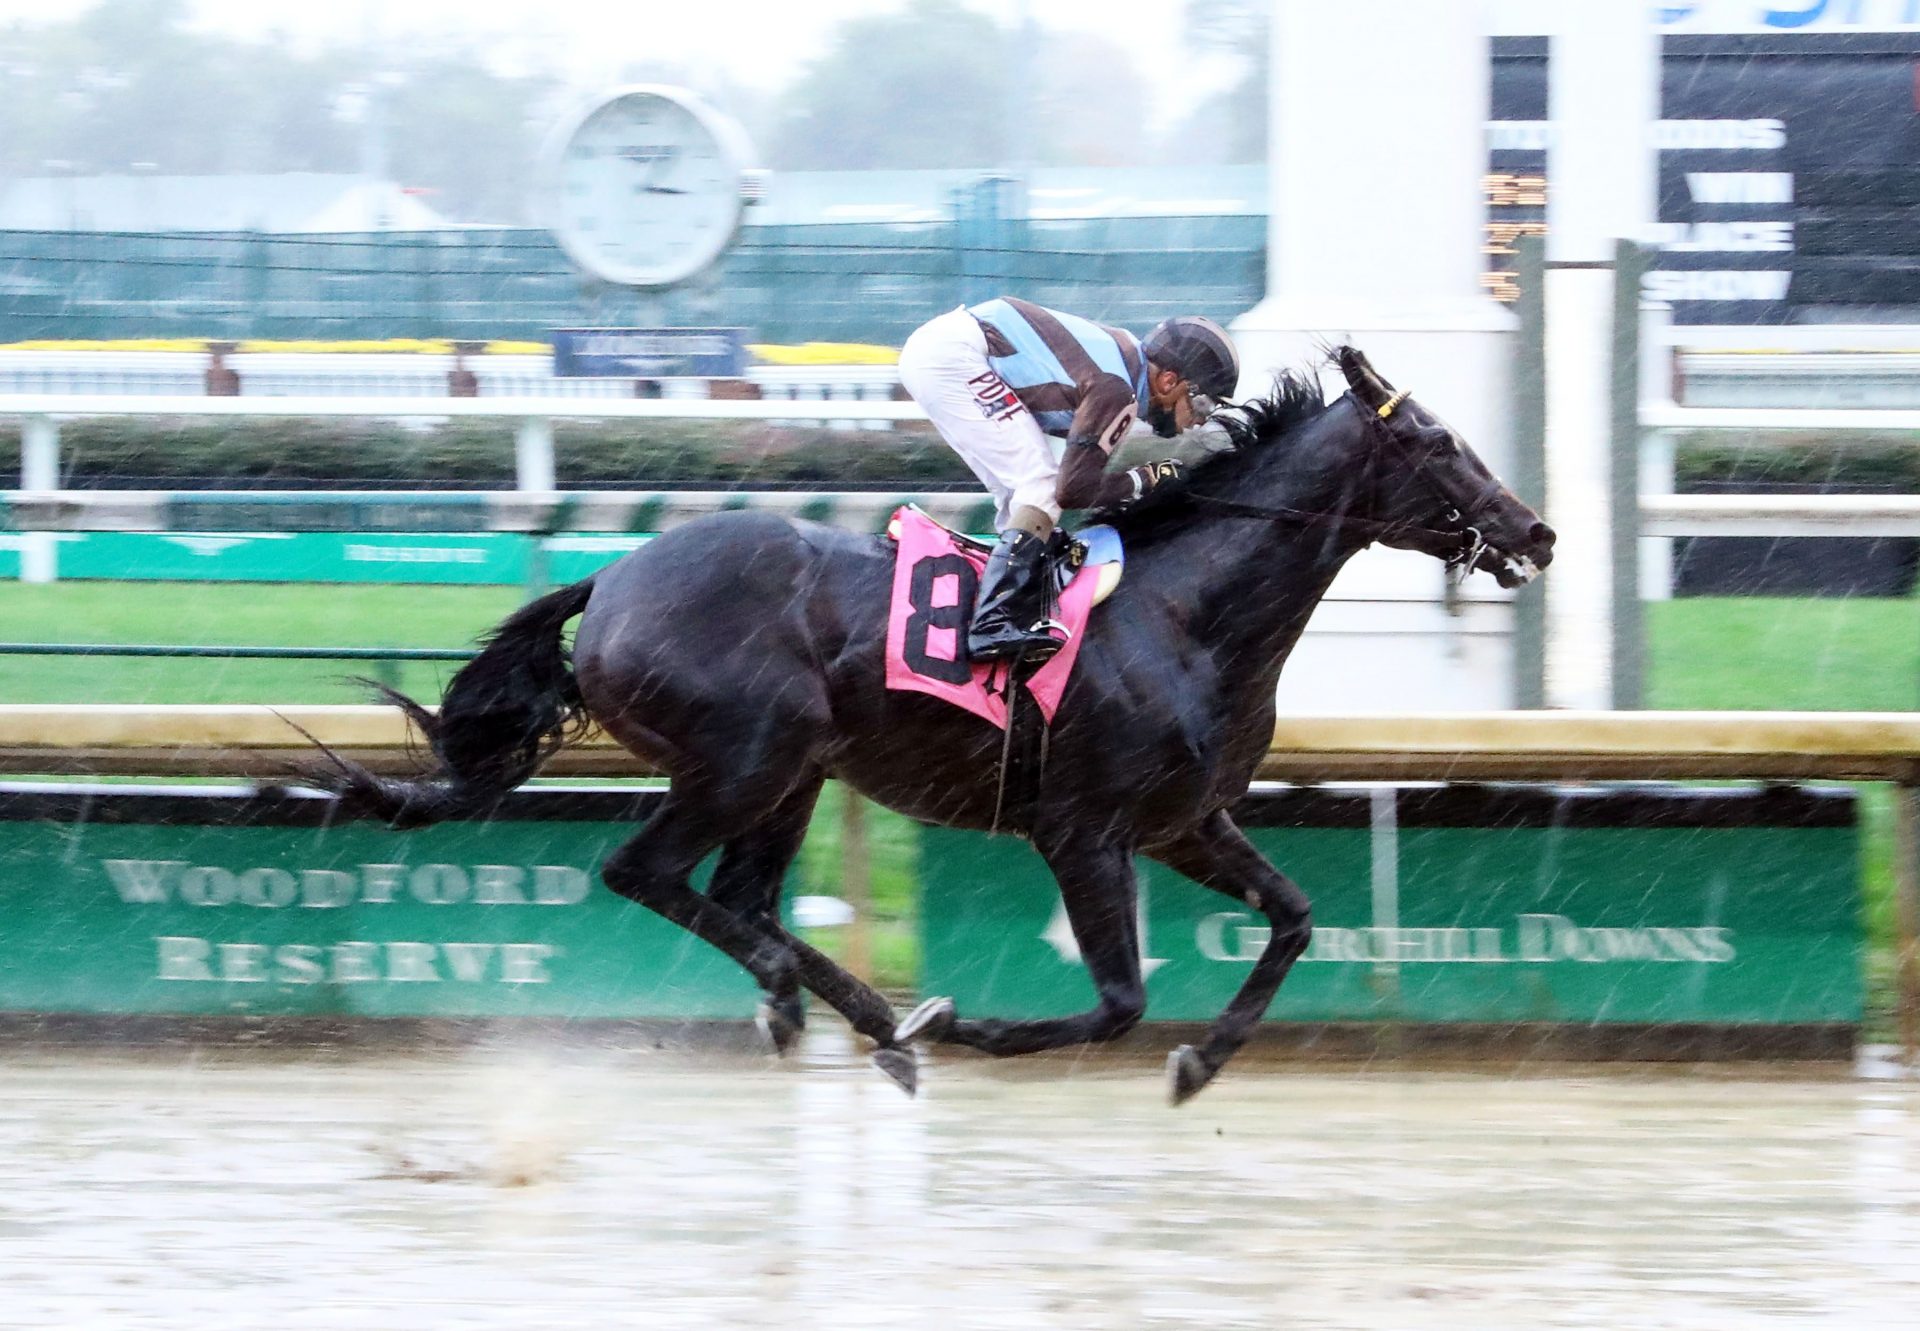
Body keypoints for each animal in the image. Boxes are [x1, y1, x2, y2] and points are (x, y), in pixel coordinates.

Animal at [307, 345, 1551, 1098]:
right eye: (1438, 443)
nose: (1534, 531)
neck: (1186, 613)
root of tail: (611, 578)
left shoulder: (1186, 822)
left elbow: (1292, 919)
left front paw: (1203, 1060)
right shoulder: (1082, 829)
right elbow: (1117, 1000)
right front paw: (974, 1027)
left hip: (793, 772)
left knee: (739, 897)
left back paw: (850, 1015)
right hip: (744, 757)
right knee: (643, 872)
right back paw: (870, 1017)